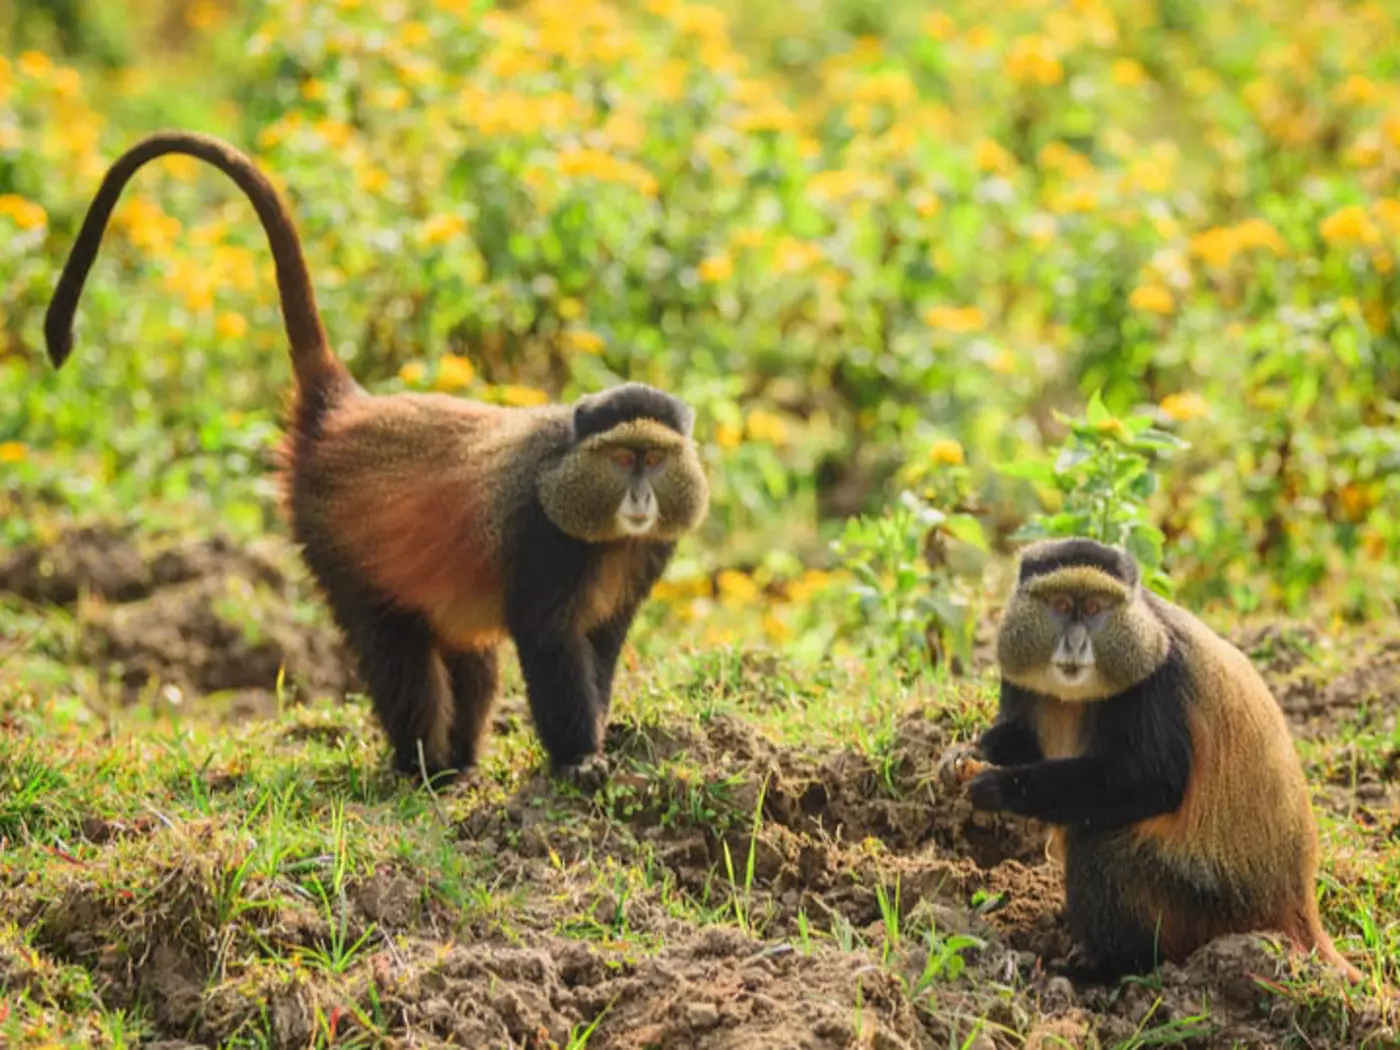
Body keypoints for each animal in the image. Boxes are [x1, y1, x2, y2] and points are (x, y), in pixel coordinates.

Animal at [42, 130, 710, 787]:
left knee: (468, 657)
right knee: (398, 655)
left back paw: (459, 763)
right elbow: (549, 644)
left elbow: (600, 647)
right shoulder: (542, 539)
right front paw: (578, 761)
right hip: (339, 547)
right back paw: (423, 769)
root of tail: (343, 410)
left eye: (654, 459)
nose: (640, 497)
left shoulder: (645, 557)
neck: (597, 525)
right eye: (622, 459)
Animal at [949, 537, 1361, 984]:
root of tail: (1294, 905)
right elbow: (1023, 737)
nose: (1075, 645)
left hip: (1202, 903)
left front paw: (1000, 787)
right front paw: (965, 755)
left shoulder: (1157, 681)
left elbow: (1152, 784)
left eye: (1094, 608)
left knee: (1097, 845)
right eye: (1060, 604)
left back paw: (1106, 968)